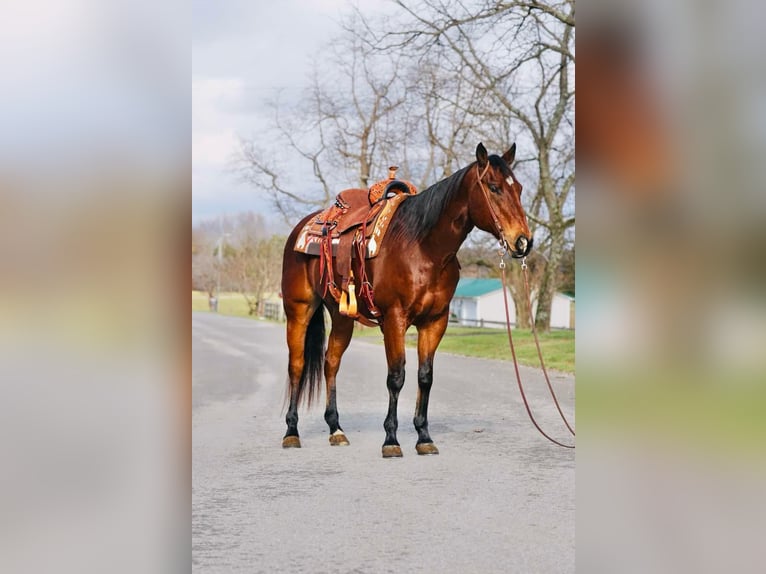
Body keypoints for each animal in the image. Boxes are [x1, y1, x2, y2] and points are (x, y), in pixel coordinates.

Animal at [282, 143, 536, 460]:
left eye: (520, 189)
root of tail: (303, 227)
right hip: (298, 310)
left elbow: (425, 377)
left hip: (341, 316)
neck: (423, 248)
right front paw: (391, 439)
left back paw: (336, 429)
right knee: (297, 365)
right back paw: (291, 432)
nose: (523, 242)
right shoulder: (395, 319)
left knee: (331, 362)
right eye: (494, 187)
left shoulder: (435, 321)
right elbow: (397, 376)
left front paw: (423, 436)